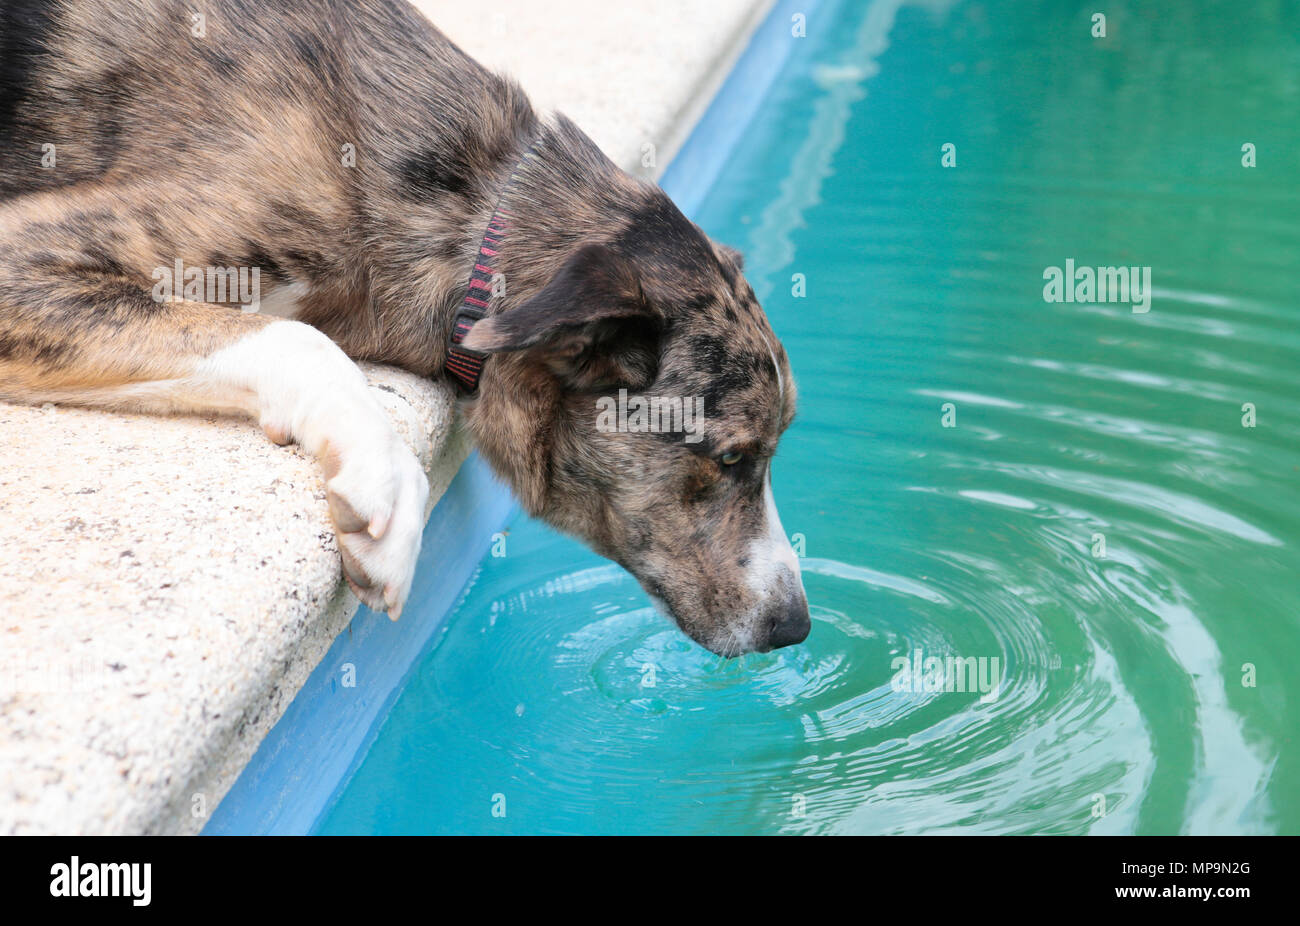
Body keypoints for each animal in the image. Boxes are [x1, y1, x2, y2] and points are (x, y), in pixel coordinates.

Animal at [0, 0, 806, 655]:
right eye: (732, 458)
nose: (795, 626)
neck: (476, 205)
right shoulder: (23, 254)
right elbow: (297, 338)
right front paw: (385, 477)